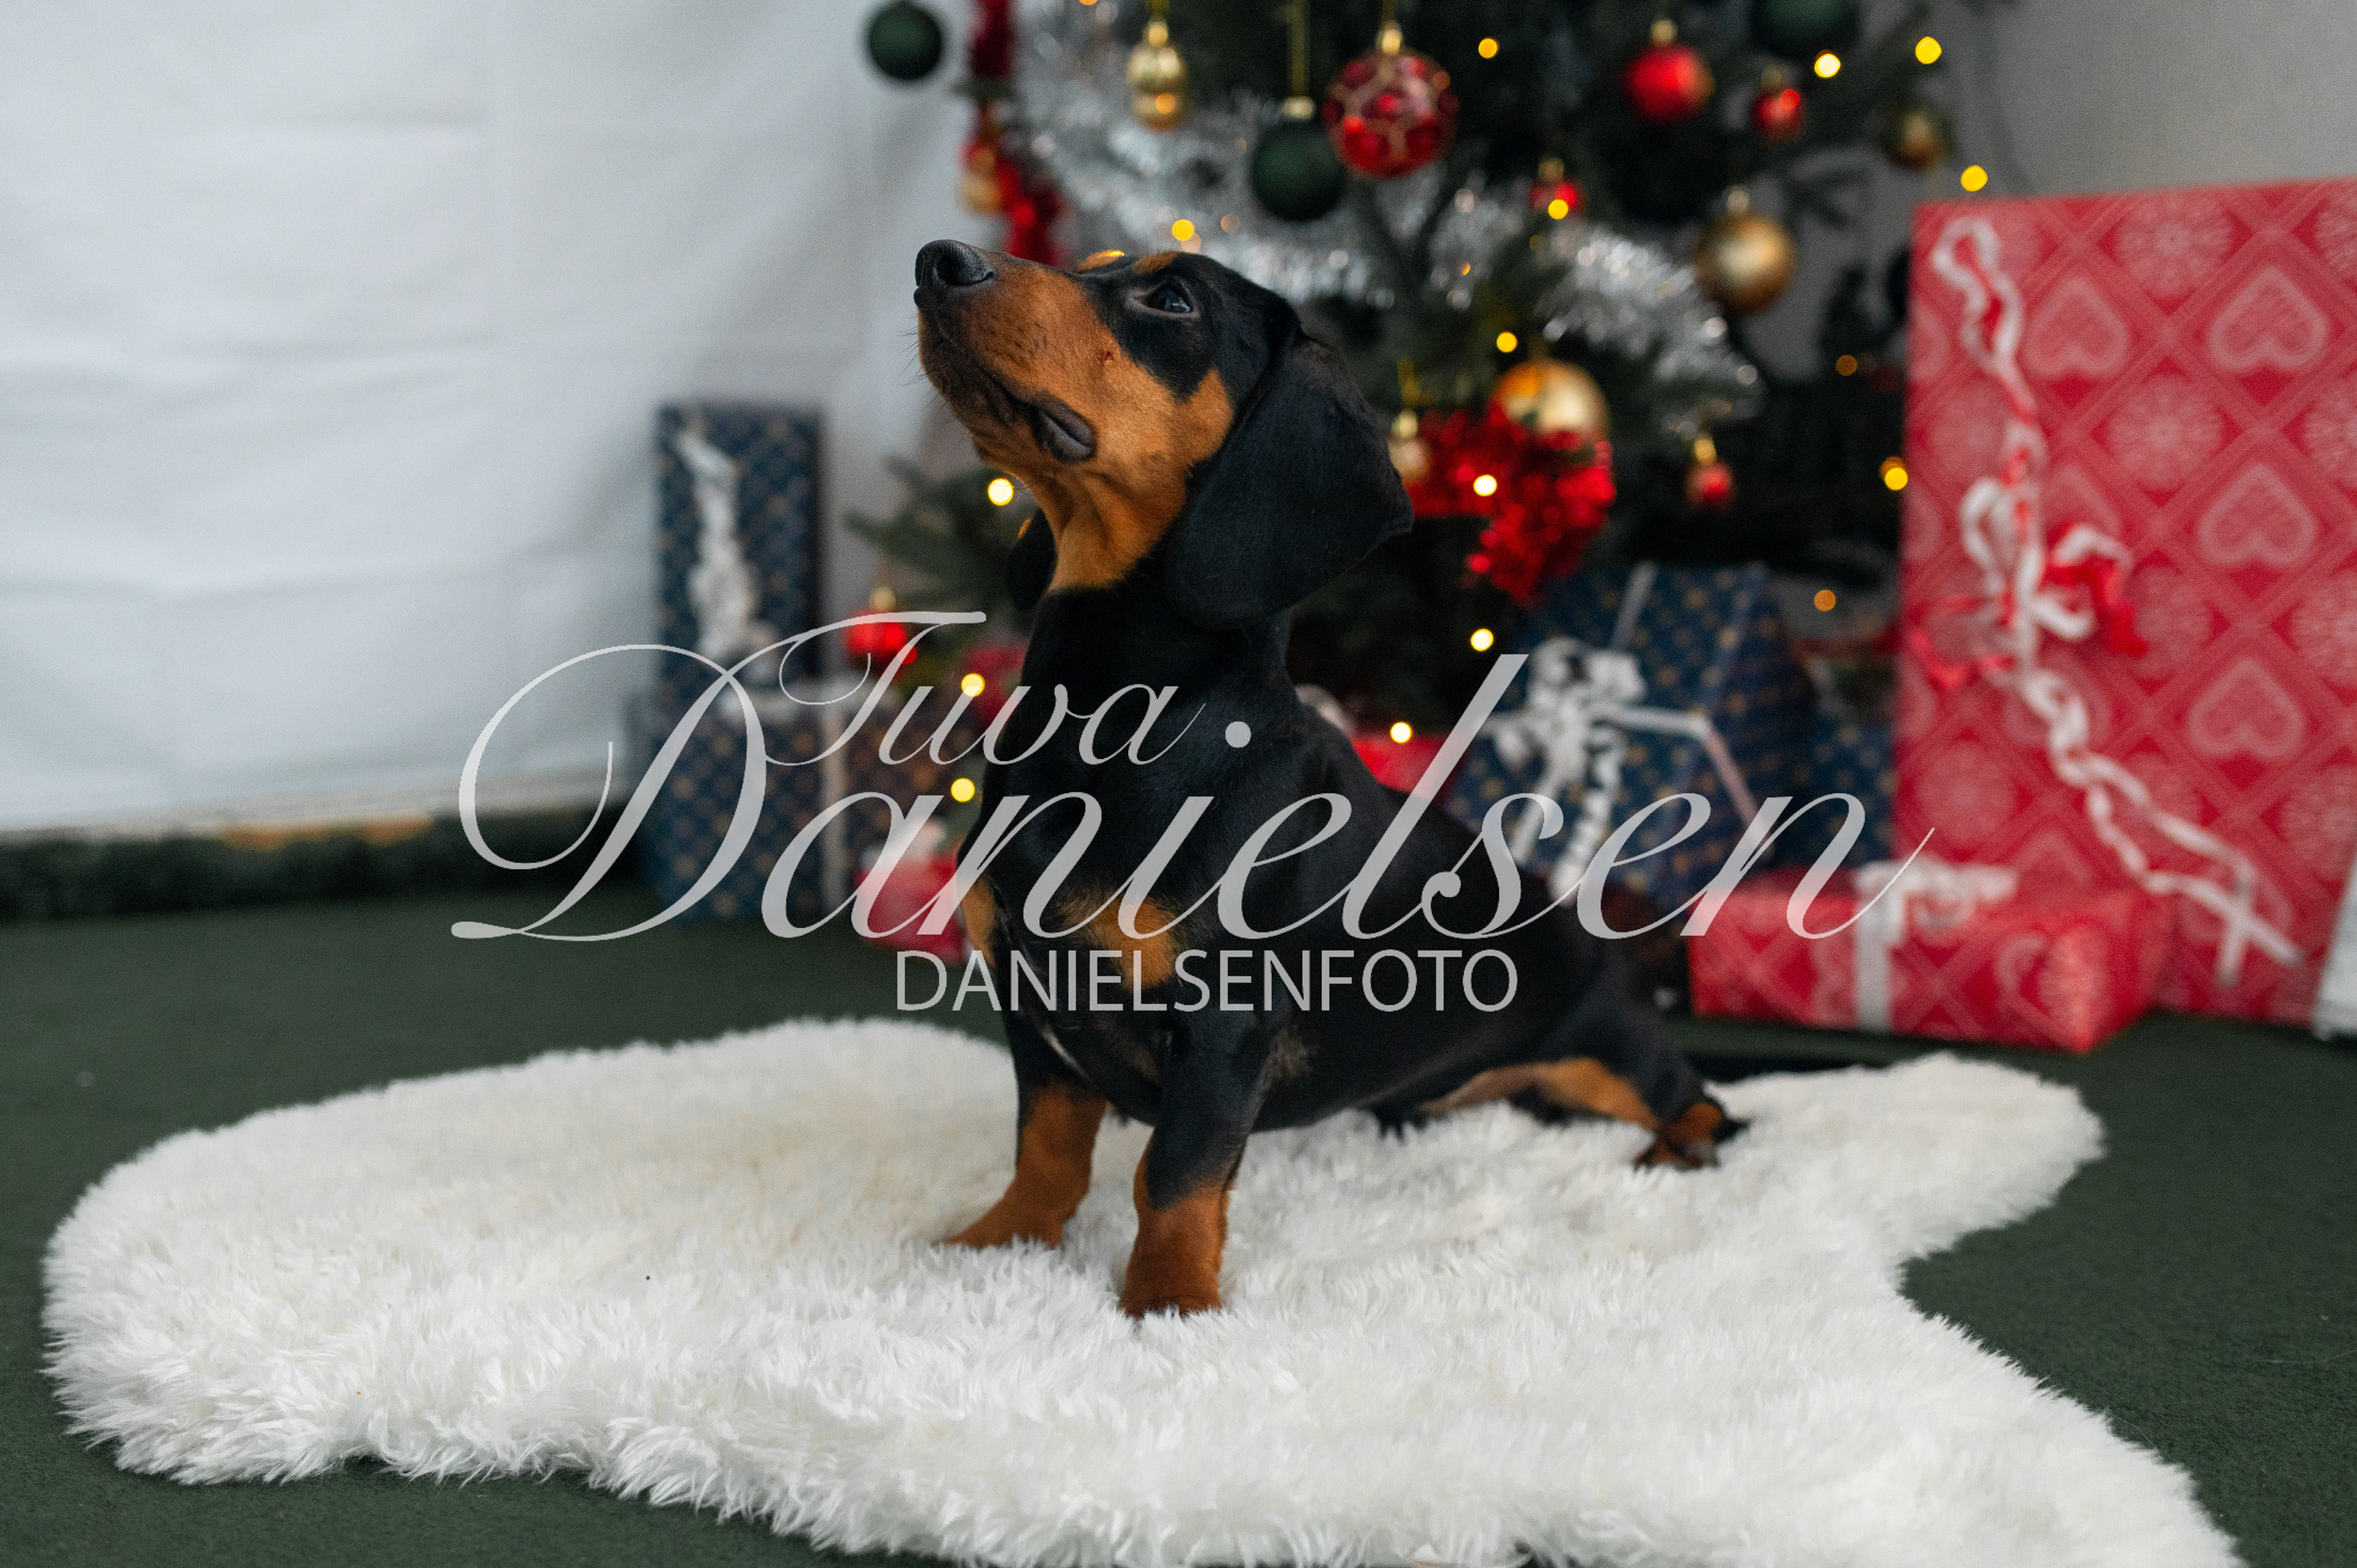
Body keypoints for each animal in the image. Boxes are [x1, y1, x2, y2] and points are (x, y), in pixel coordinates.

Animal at [914, 239, 1735, 1320]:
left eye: (1170, 299)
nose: (938, 260)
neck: (1119, 719)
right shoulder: (1030, 1007)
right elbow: (1047, 1147)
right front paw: (1000, 1244)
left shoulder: (1222, 1025)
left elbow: (1174, 1173)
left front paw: (1167, 1301)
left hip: (1613, 1043)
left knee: (1706, 1103)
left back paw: (1673, 1152)